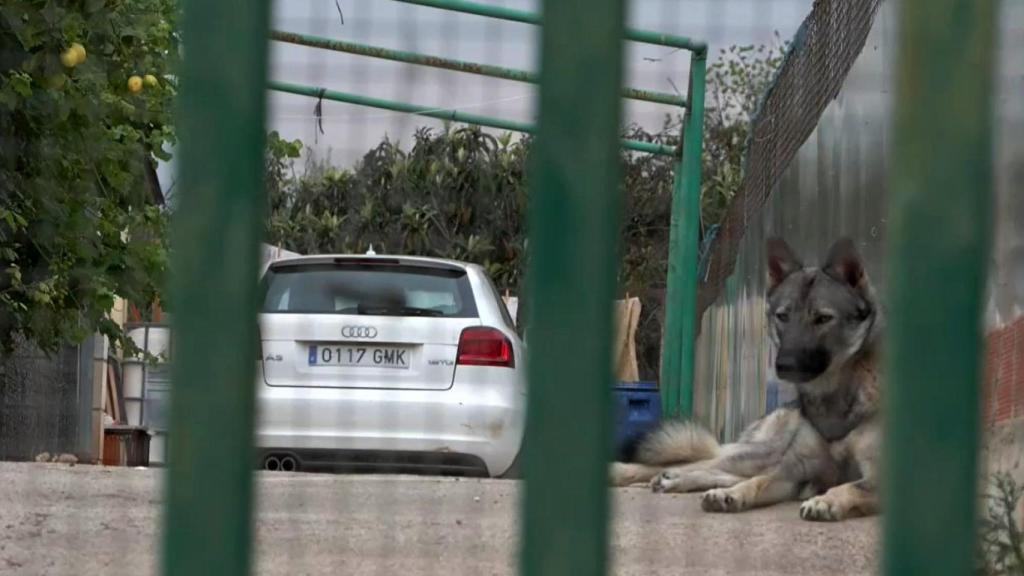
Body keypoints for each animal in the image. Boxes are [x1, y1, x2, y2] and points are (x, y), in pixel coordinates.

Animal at [610, 237, 884, 520]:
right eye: (783, 316)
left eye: (823, 318)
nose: (784, 364)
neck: (834, 396)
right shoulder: (793, 470)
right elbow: (758, 482)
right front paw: (731, 495)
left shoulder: (874, 479)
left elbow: (849, 486)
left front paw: (825, 500)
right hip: (764, 453)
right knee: (700, 462)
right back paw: (628, 472)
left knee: (714, 469)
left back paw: (674, 480)